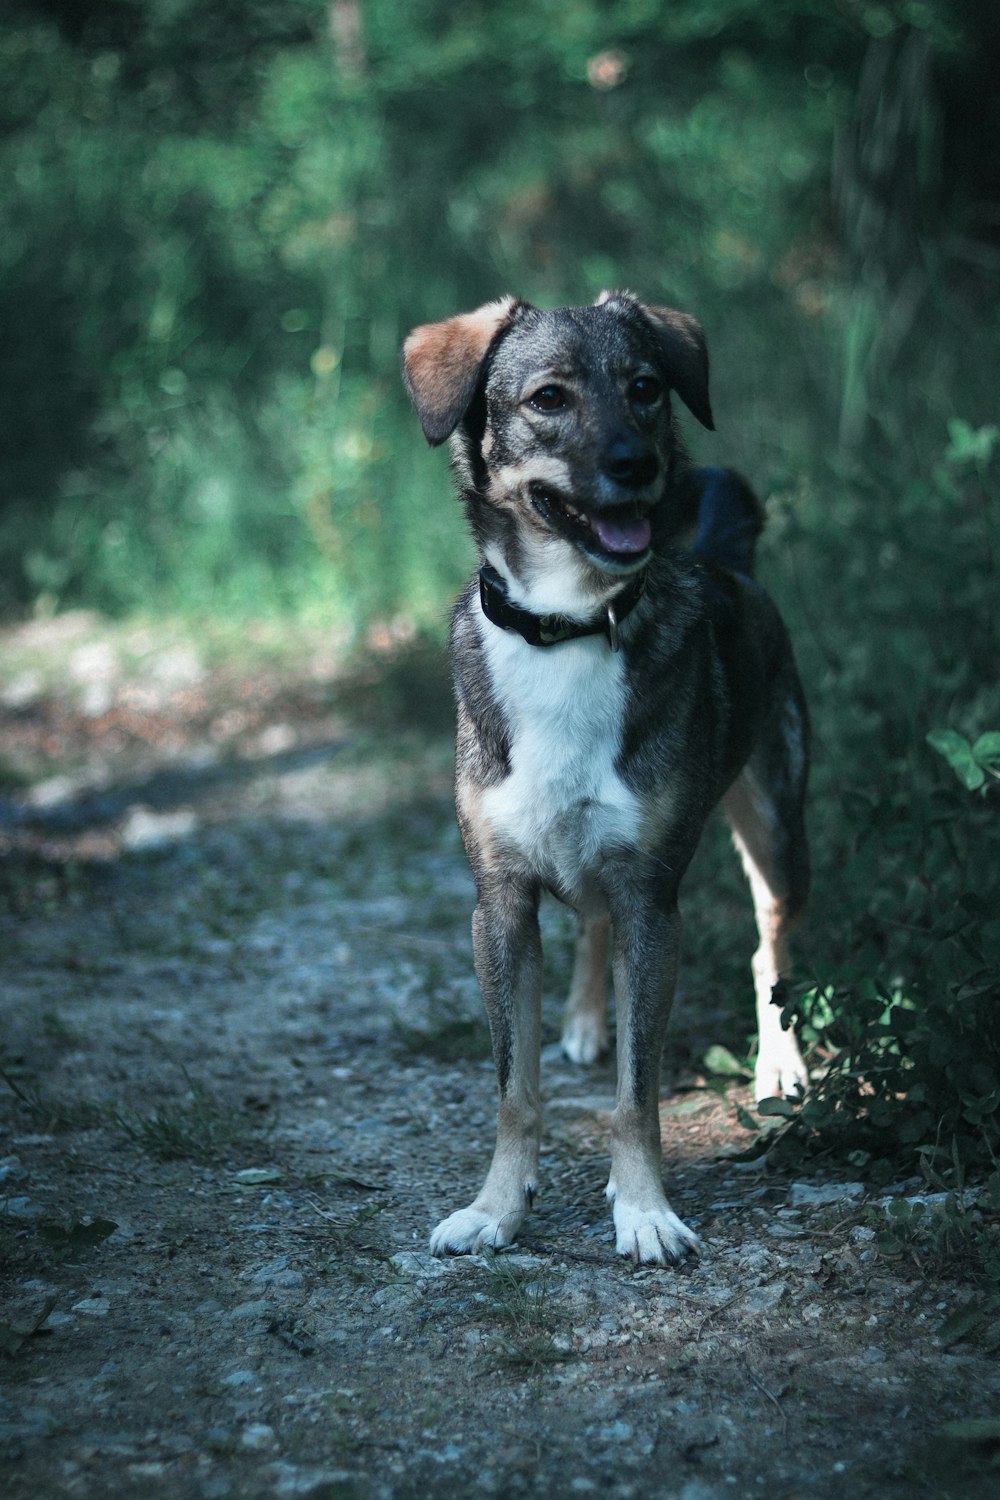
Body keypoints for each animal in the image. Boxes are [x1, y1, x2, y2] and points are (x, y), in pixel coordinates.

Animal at [401, 292, 809, 1266]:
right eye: (548, 397)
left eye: (647, 388)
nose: (638, 464)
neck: (570, 626)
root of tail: (731, 557)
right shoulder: (500, 903)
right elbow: (515, 1089)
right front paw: (497, 1209)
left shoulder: (649, 898)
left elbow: (637, 1093)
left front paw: (645, 1210)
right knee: (589, 924)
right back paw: (586, 1019)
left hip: (777, 822)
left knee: (771, 946)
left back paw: (782, 1065)